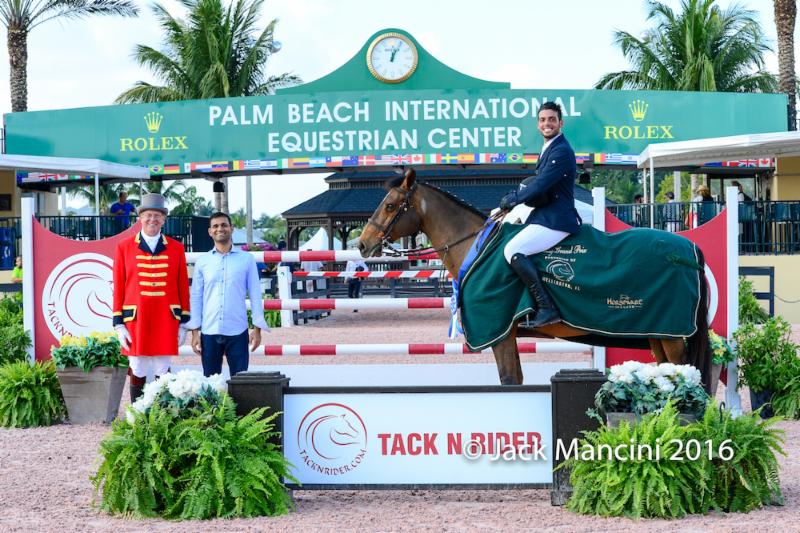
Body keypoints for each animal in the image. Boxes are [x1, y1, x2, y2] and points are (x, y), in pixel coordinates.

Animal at [356, 170, 712, 390]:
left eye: (390, 205)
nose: (362, 244)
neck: (477, 245)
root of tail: (691, 249)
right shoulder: (508, 335)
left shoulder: (499, 333)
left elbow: (509, 382)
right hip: (659, 334)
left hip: (670, 335)